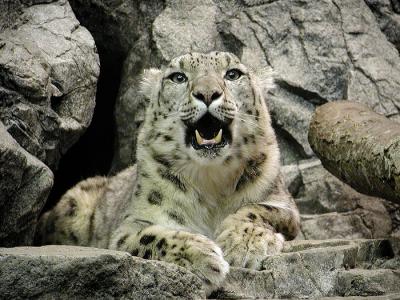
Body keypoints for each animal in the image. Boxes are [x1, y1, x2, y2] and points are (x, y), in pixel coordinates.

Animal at [37, 51, 300, 296]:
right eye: (178, 77)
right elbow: (153, 237)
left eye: (233, 74)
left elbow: (260, 209)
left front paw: (245, 244)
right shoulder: (131, 224)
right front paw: (202, 256)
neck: (212, 180)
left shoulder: (284, 202)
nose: (207, 93)